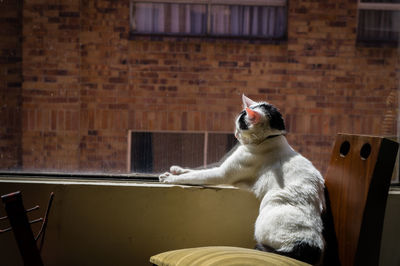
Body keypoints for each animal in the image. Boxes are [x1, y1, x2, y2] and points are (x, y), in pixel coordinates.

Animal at [159, 94, 324, 264]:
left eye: (239, 127)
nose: (235, 135)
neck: (270, 139)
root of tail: (309, 247)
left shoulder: (221, 173)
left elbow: (196, 175)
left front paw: (170, 178)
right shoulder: (218, 167)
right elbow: (197, 169)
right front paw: (176, 170)